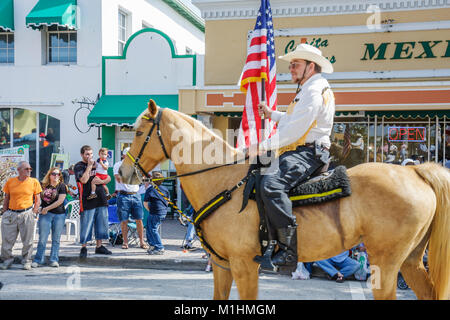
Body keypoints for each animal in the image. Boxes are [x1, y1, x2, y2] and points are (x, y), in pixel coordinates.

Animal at [119, 102, 450, 300]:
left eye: (138, 131)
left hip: (387, 263)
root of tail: (416, 171)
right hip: (410, 261)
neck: (223, 180)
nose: (122, 171)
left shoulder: (244, 265)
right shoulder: (223, 265)